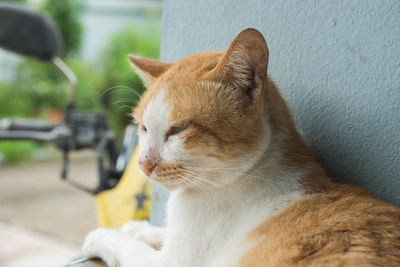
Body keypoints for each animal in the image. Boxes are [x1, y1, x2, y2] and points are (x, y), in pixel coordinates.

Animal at [82, 28, 400, 266]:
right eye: (143, 128)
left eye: (179, 129)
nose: (143, 164)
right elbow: (159, 233)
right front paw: (141, 228)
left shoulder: (171, 262)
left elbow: (125, 247)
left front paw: (101, 236)